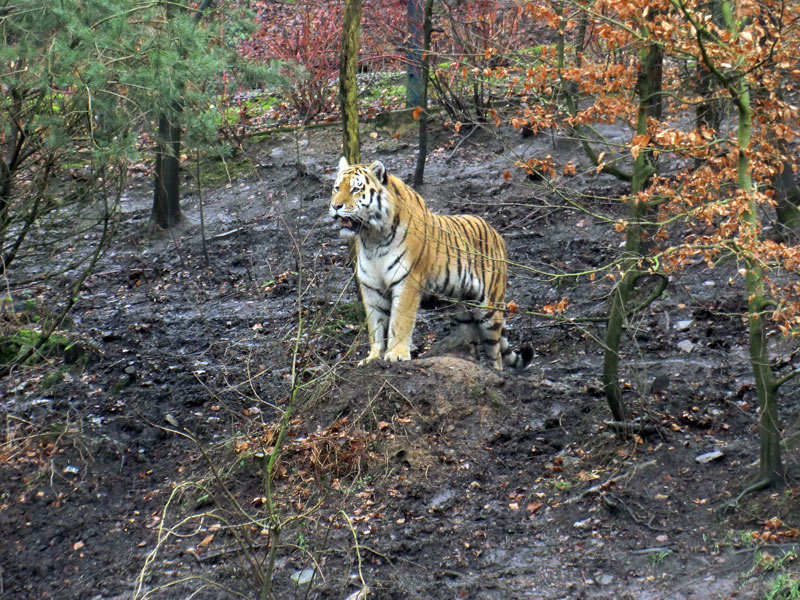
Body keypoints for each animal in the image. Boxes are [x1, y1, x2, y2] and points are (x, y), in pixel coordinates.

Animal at [332, 156, 532, 370]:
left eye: (355, 189)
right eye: (336, 188)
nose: (335, 206)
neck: (371, 238)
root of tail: (497, 234)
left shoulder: (407, 282)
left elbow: (399, 321)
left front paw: (396, 355)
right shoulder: (371, 287)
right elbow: (376, 326)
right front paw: (374, 357)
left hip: (489, 308)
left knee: (496, 353)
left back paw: (495, 371)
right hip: (463, 311)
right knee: (470, 340)